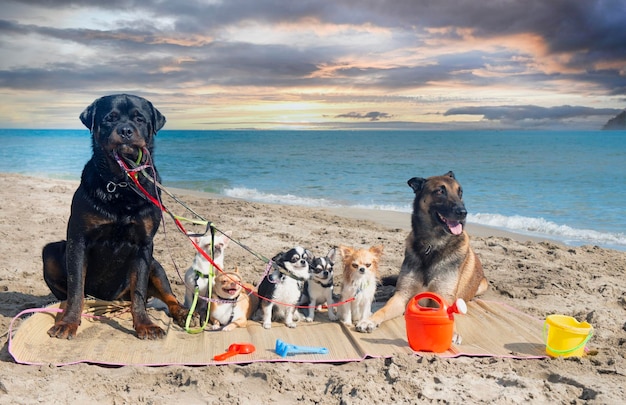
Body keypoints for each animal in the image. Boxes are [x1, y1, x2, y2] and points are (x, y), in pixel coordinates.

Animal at [42, 94, 191, 338]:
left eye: (139, 118)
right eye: (109, 118)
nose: (126, 130)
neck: (121, 183)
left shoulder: (144, 246)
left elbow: (139, 290)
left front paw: (145, 324)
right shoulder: (78, 241)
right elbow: (76, 288)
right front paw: (68, 322)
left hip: (155, 265)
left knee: (168, 296)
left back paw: (185, 313)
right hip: (51, 252)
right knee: (69, 292)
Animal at [354, 170, 486, 332]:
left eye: (460, 192)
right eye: (440, 191)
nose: (463, 212)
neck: (432, 245)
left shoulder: (442, 297)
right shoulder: (402, 297)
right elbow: (383, 309)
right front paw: (369, 320)